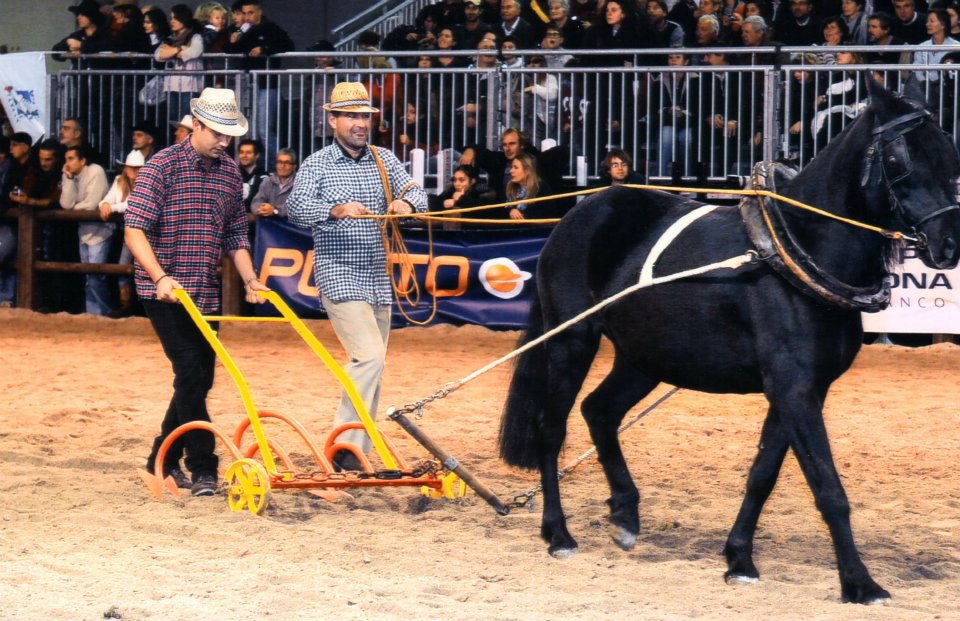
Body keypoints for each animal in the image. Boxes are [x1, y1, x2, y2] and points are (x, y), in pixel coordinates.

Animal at [498, 78, 956, 604]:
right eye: (900, 159)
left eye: (949, 153)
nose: (948, 243)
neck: (797, 253)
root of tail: (575, 216)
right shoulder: (795, 389)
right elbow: (827, 486)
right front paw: (860, 582)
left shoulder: (801, 390)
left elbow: (763, 475)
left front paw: (739, 558)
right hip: (572, 341)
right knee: (552, 429)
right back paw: (558, 534)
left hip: (645, 357)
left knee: (600, 411)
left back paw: (625, 513)